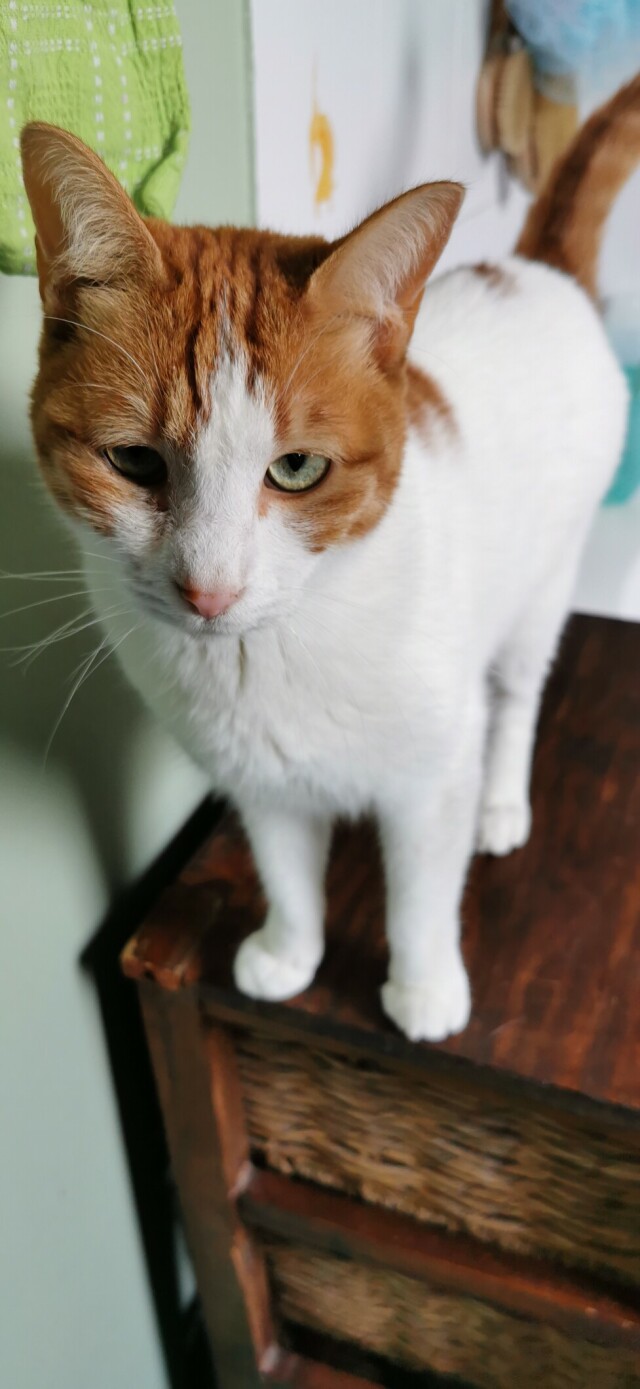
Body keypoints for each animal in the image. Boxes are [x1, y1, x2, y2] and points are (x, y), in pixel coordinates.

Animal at [19, 73, 638, 1033]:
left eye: (297, 468)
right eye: (134, 461)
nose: (209, 590)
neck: (264, 654)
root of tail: (534, 271)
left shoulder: (432, 776)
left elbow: (420, 891)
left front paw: (423, 989)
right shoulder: (259, 781)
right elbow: (284, 866)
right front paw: (289, 950)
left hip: (541, 593)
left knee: (516, 700)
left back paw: (503, 804)